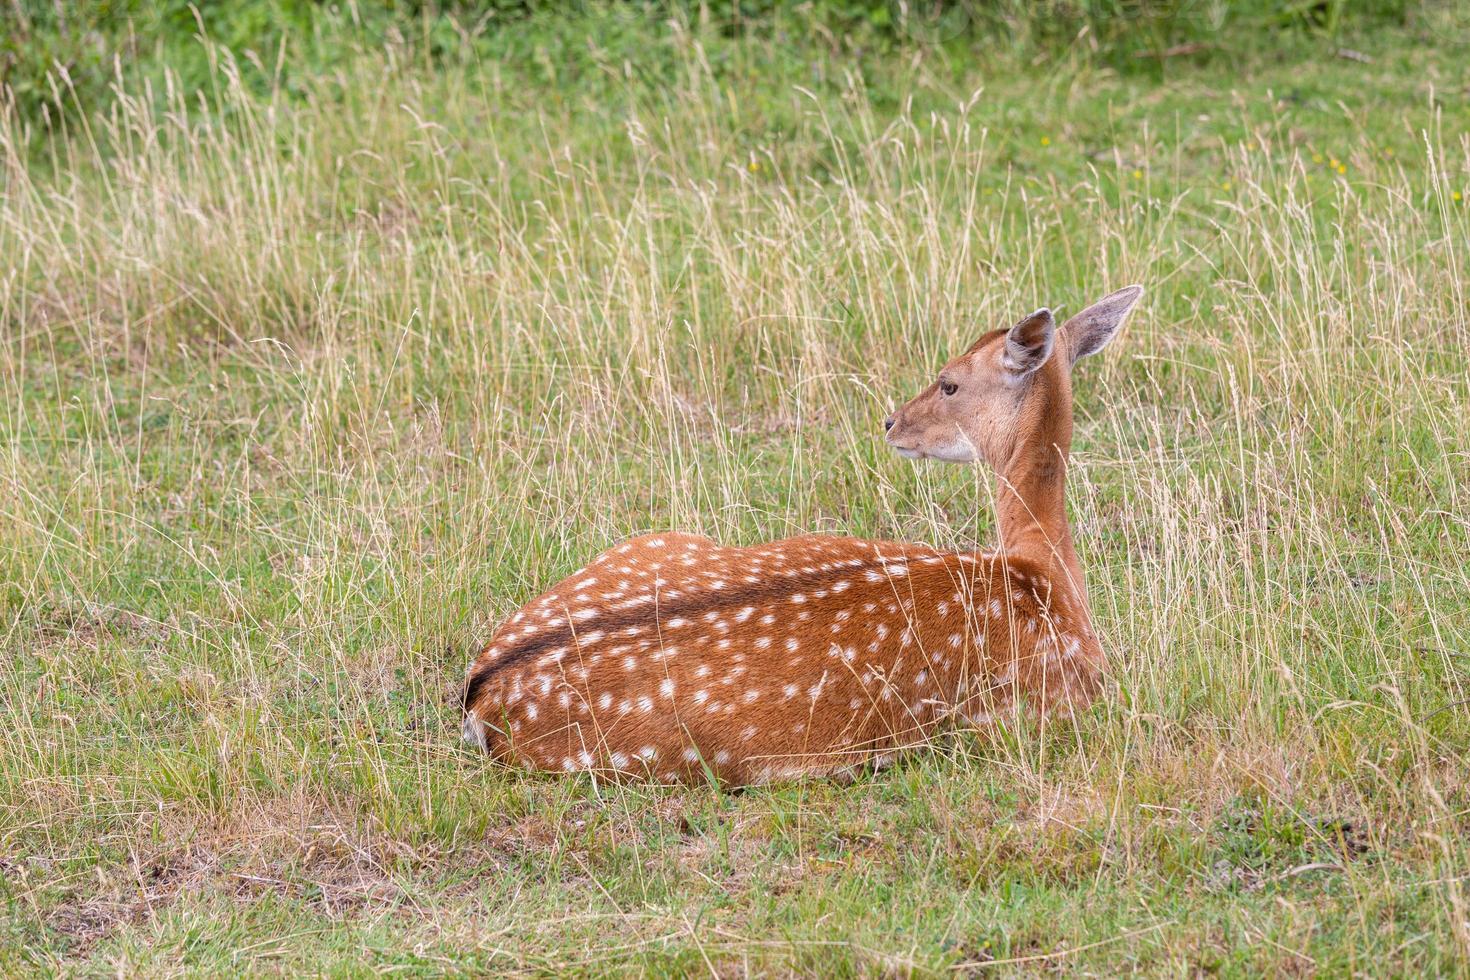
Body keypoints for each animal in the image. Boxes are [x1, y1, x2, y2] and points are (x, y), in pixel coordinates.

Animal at [455, 285, 1134, 787]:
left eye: (949, 383)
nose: (891, 421)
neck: (1045, 580)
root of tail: (479, 693)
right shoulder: (1042, 712)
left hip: (653, 540)